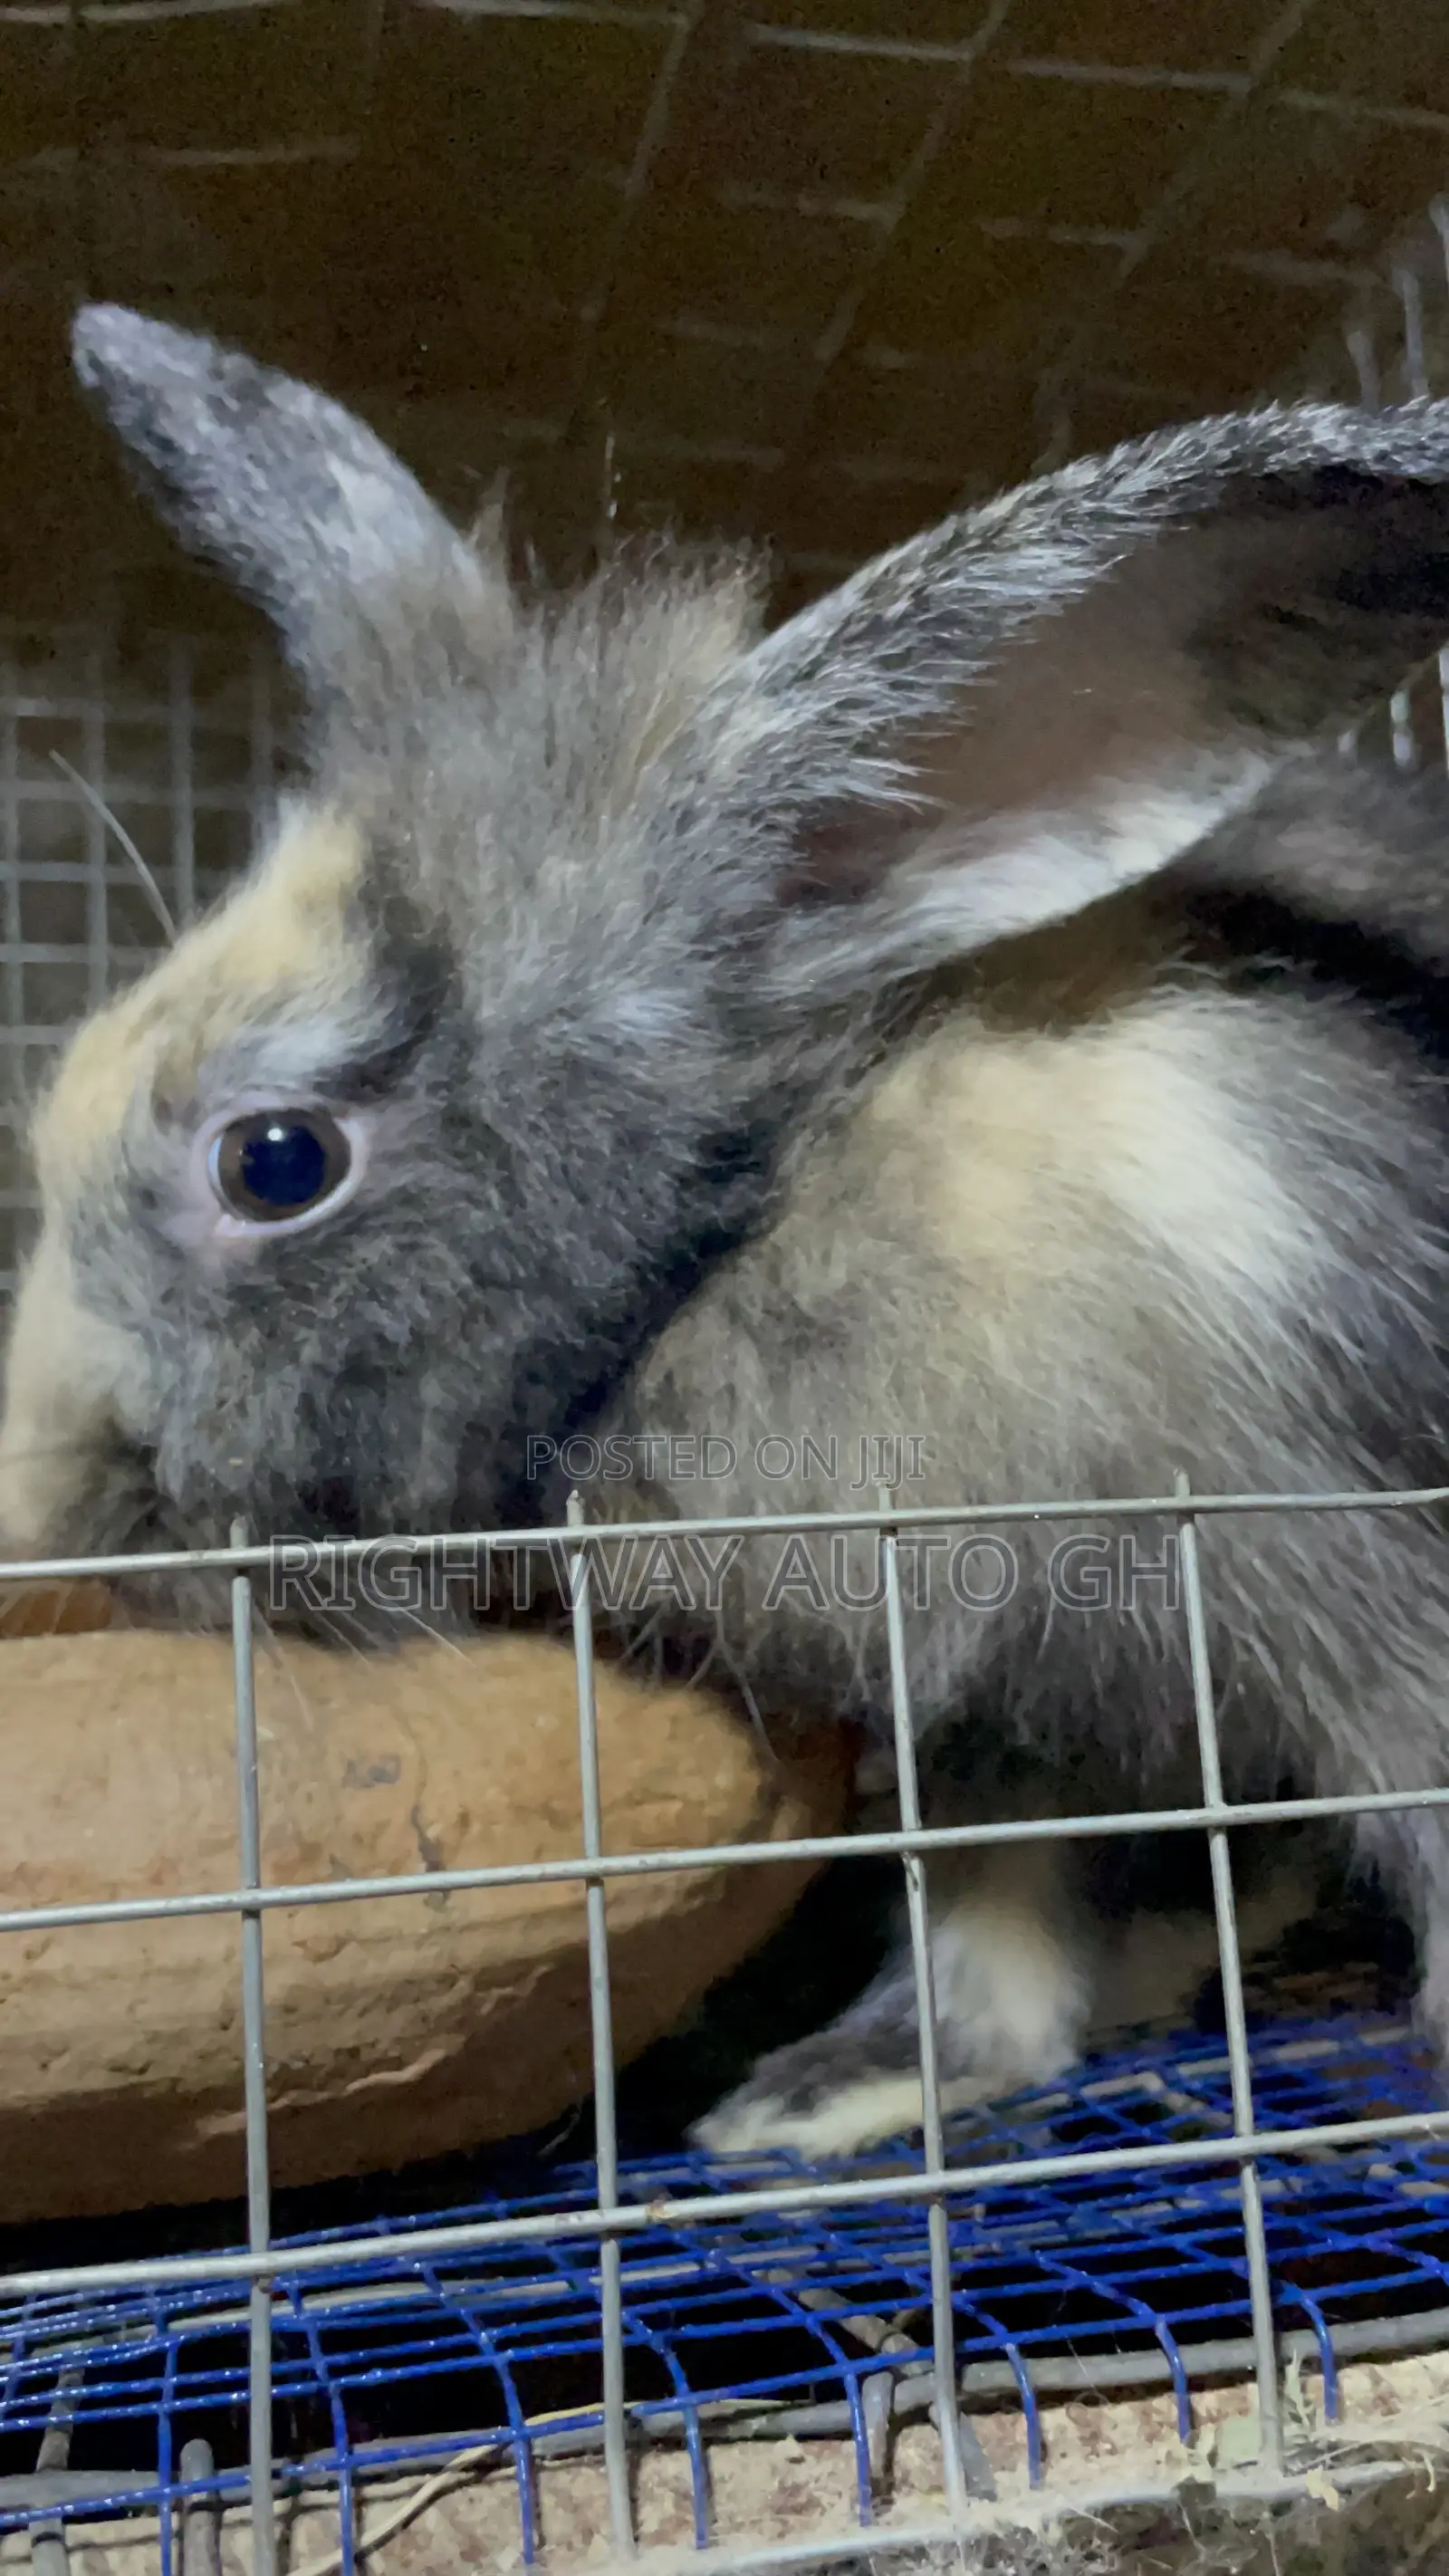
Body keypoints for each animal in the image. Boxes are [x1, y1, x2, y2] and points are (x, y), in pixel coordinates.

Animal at [6, 303, 1449, 2160]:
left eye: (274, 1160)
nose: (52, 1511)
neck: (761, 1210)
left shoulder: (1355, 1578)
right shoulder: (991, 1715)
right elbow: (988, 1927)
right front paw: (830, 2094)